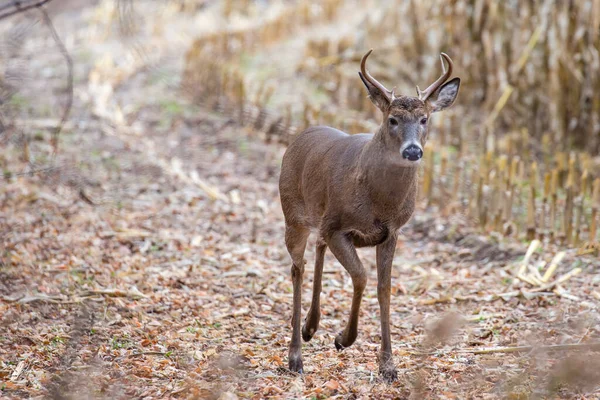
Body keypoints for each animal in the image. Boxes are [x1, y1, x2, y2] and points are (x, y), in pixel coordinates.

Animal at [278, 50, 462, 382]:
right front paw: (344, 338)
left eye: (425, 118)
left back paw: (311, 326)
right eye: (392, 119)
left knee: (317, 249)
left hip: (320, 220)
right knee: (298, 268)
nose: (413, 151)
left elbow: (384, 289)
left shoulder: (391, 232)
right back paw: (296, 355)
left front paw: (388, 365)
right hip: (294, 215)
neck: (379, 203)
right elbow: (361, 277)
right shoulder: (338, 226)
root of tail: (301, 135)